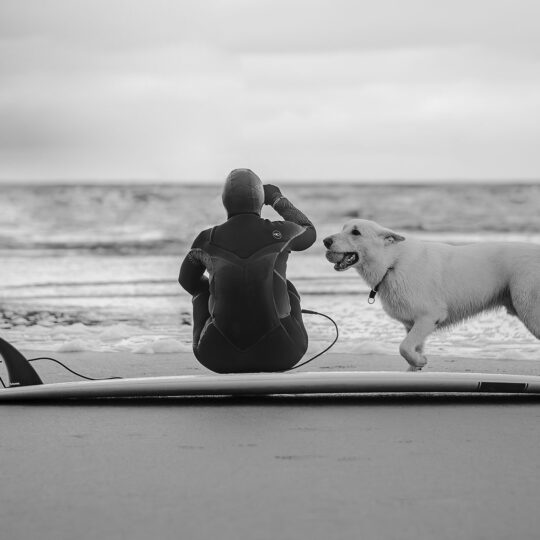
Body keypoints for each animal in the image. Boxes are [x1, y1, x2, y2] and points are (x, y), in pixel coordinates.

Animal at [324, 219, 540, 372]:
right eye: (343, 228)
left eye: (356, 232)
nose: (325, 241)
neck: (391, 263)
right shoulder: (412, 324)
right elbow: (411, 348)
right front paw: (415, 367)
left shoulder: (429, 317)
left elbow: (404, 347)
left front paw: (420, 361)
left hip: (529, 310)